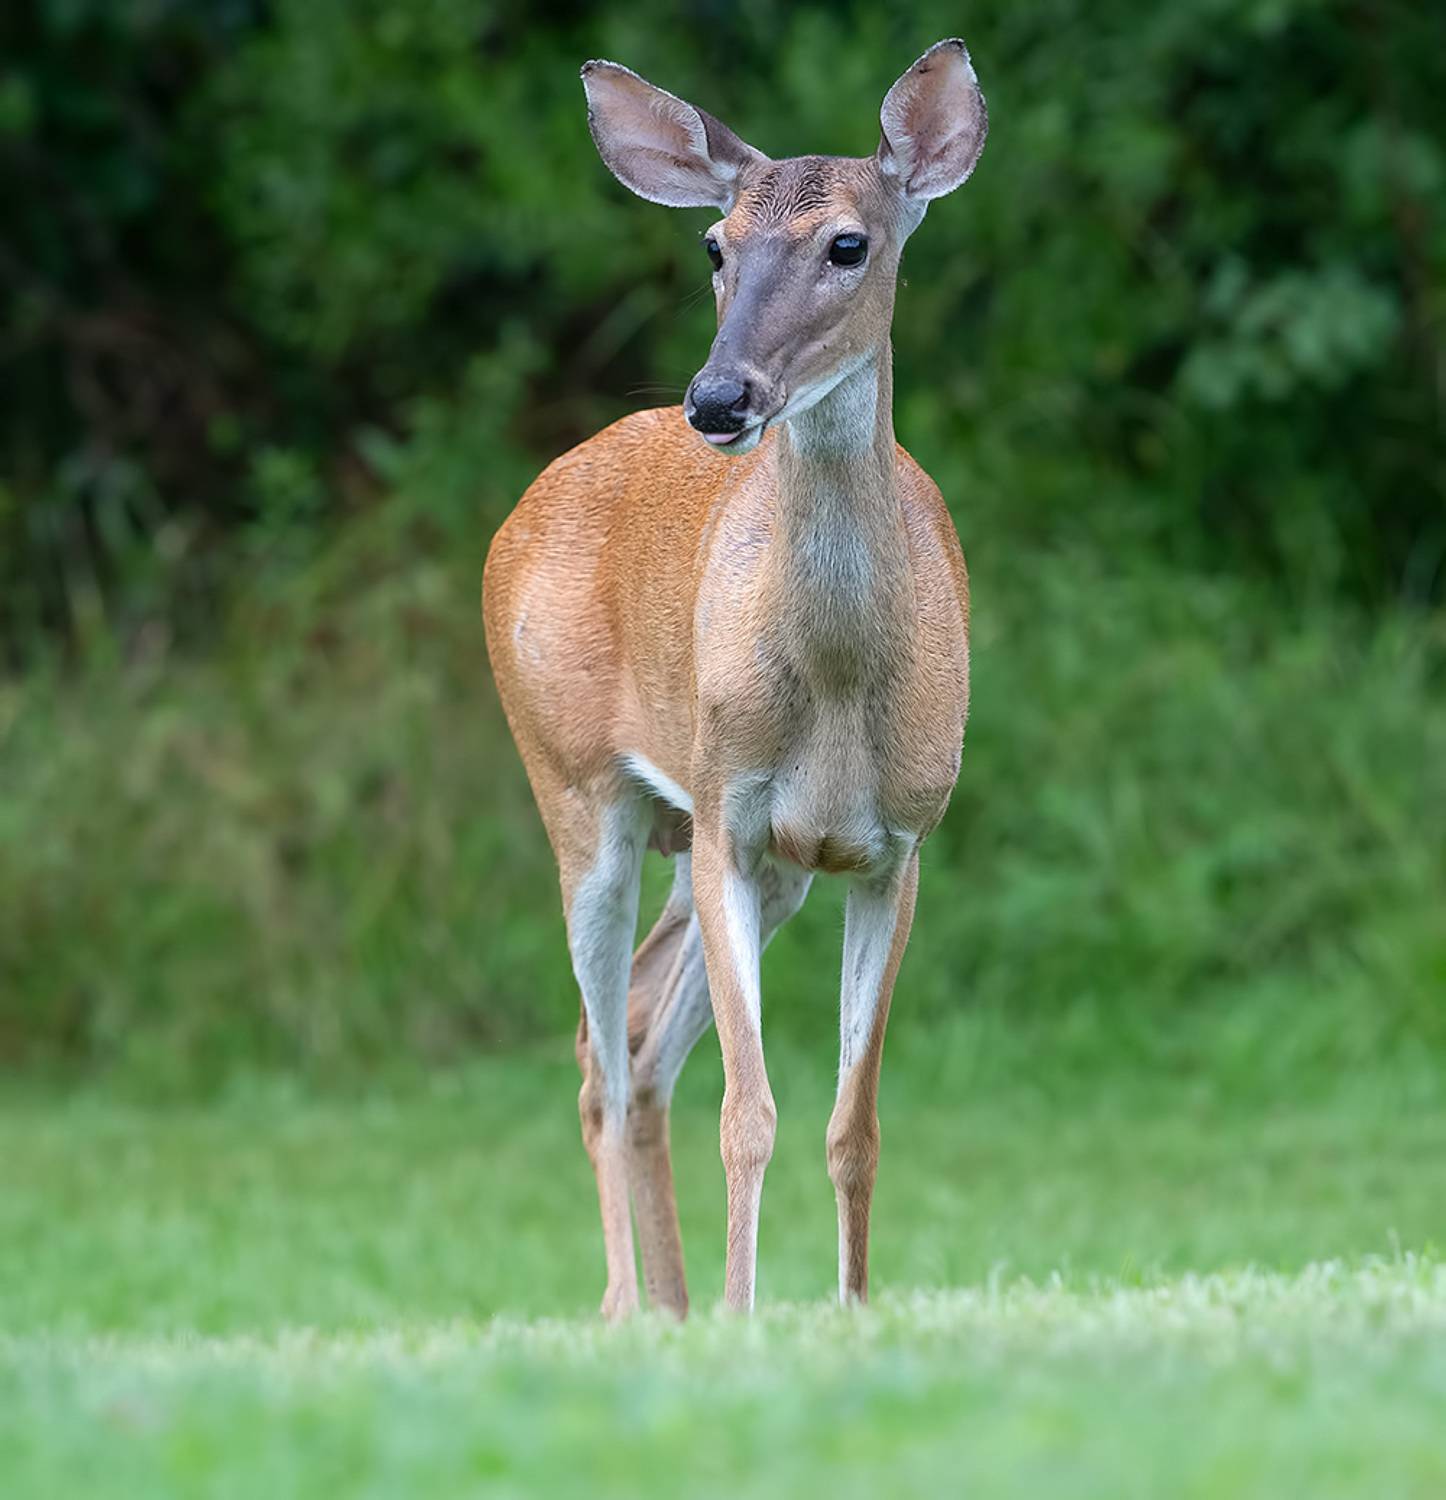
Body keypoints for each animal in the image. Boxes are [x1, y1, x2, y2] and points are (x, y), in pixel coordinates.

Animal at [483, 39, 986, 1319]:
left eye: (848, 244)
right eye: (714, 246)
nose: (719, 399)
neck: (844, 688)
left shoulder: (894, 845)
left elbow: (854, 1124)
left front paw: (851, 1307)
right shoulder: (730, 818)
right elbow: (749, 1113)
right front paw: (746, 1310)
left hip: (736, 855)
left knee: (638, 1035)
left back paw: (668, 1304)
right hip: (584, 792)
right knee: (602, 1057)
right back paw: (629, 1303)